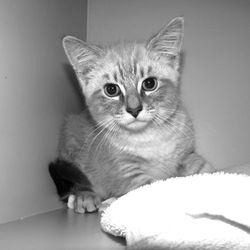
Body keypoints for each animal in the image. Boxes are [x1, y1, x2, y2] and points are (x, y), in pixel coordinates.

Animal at [48, 17, 215, 213]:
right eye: (111, 90)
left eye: (149, 84)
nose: (134, 109)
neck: (150, 139)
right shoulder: (127, 172)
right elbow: (151, 189)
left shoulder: (187, 153)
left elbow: (201, 166)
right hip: (70, 139)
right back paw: (84, 197)